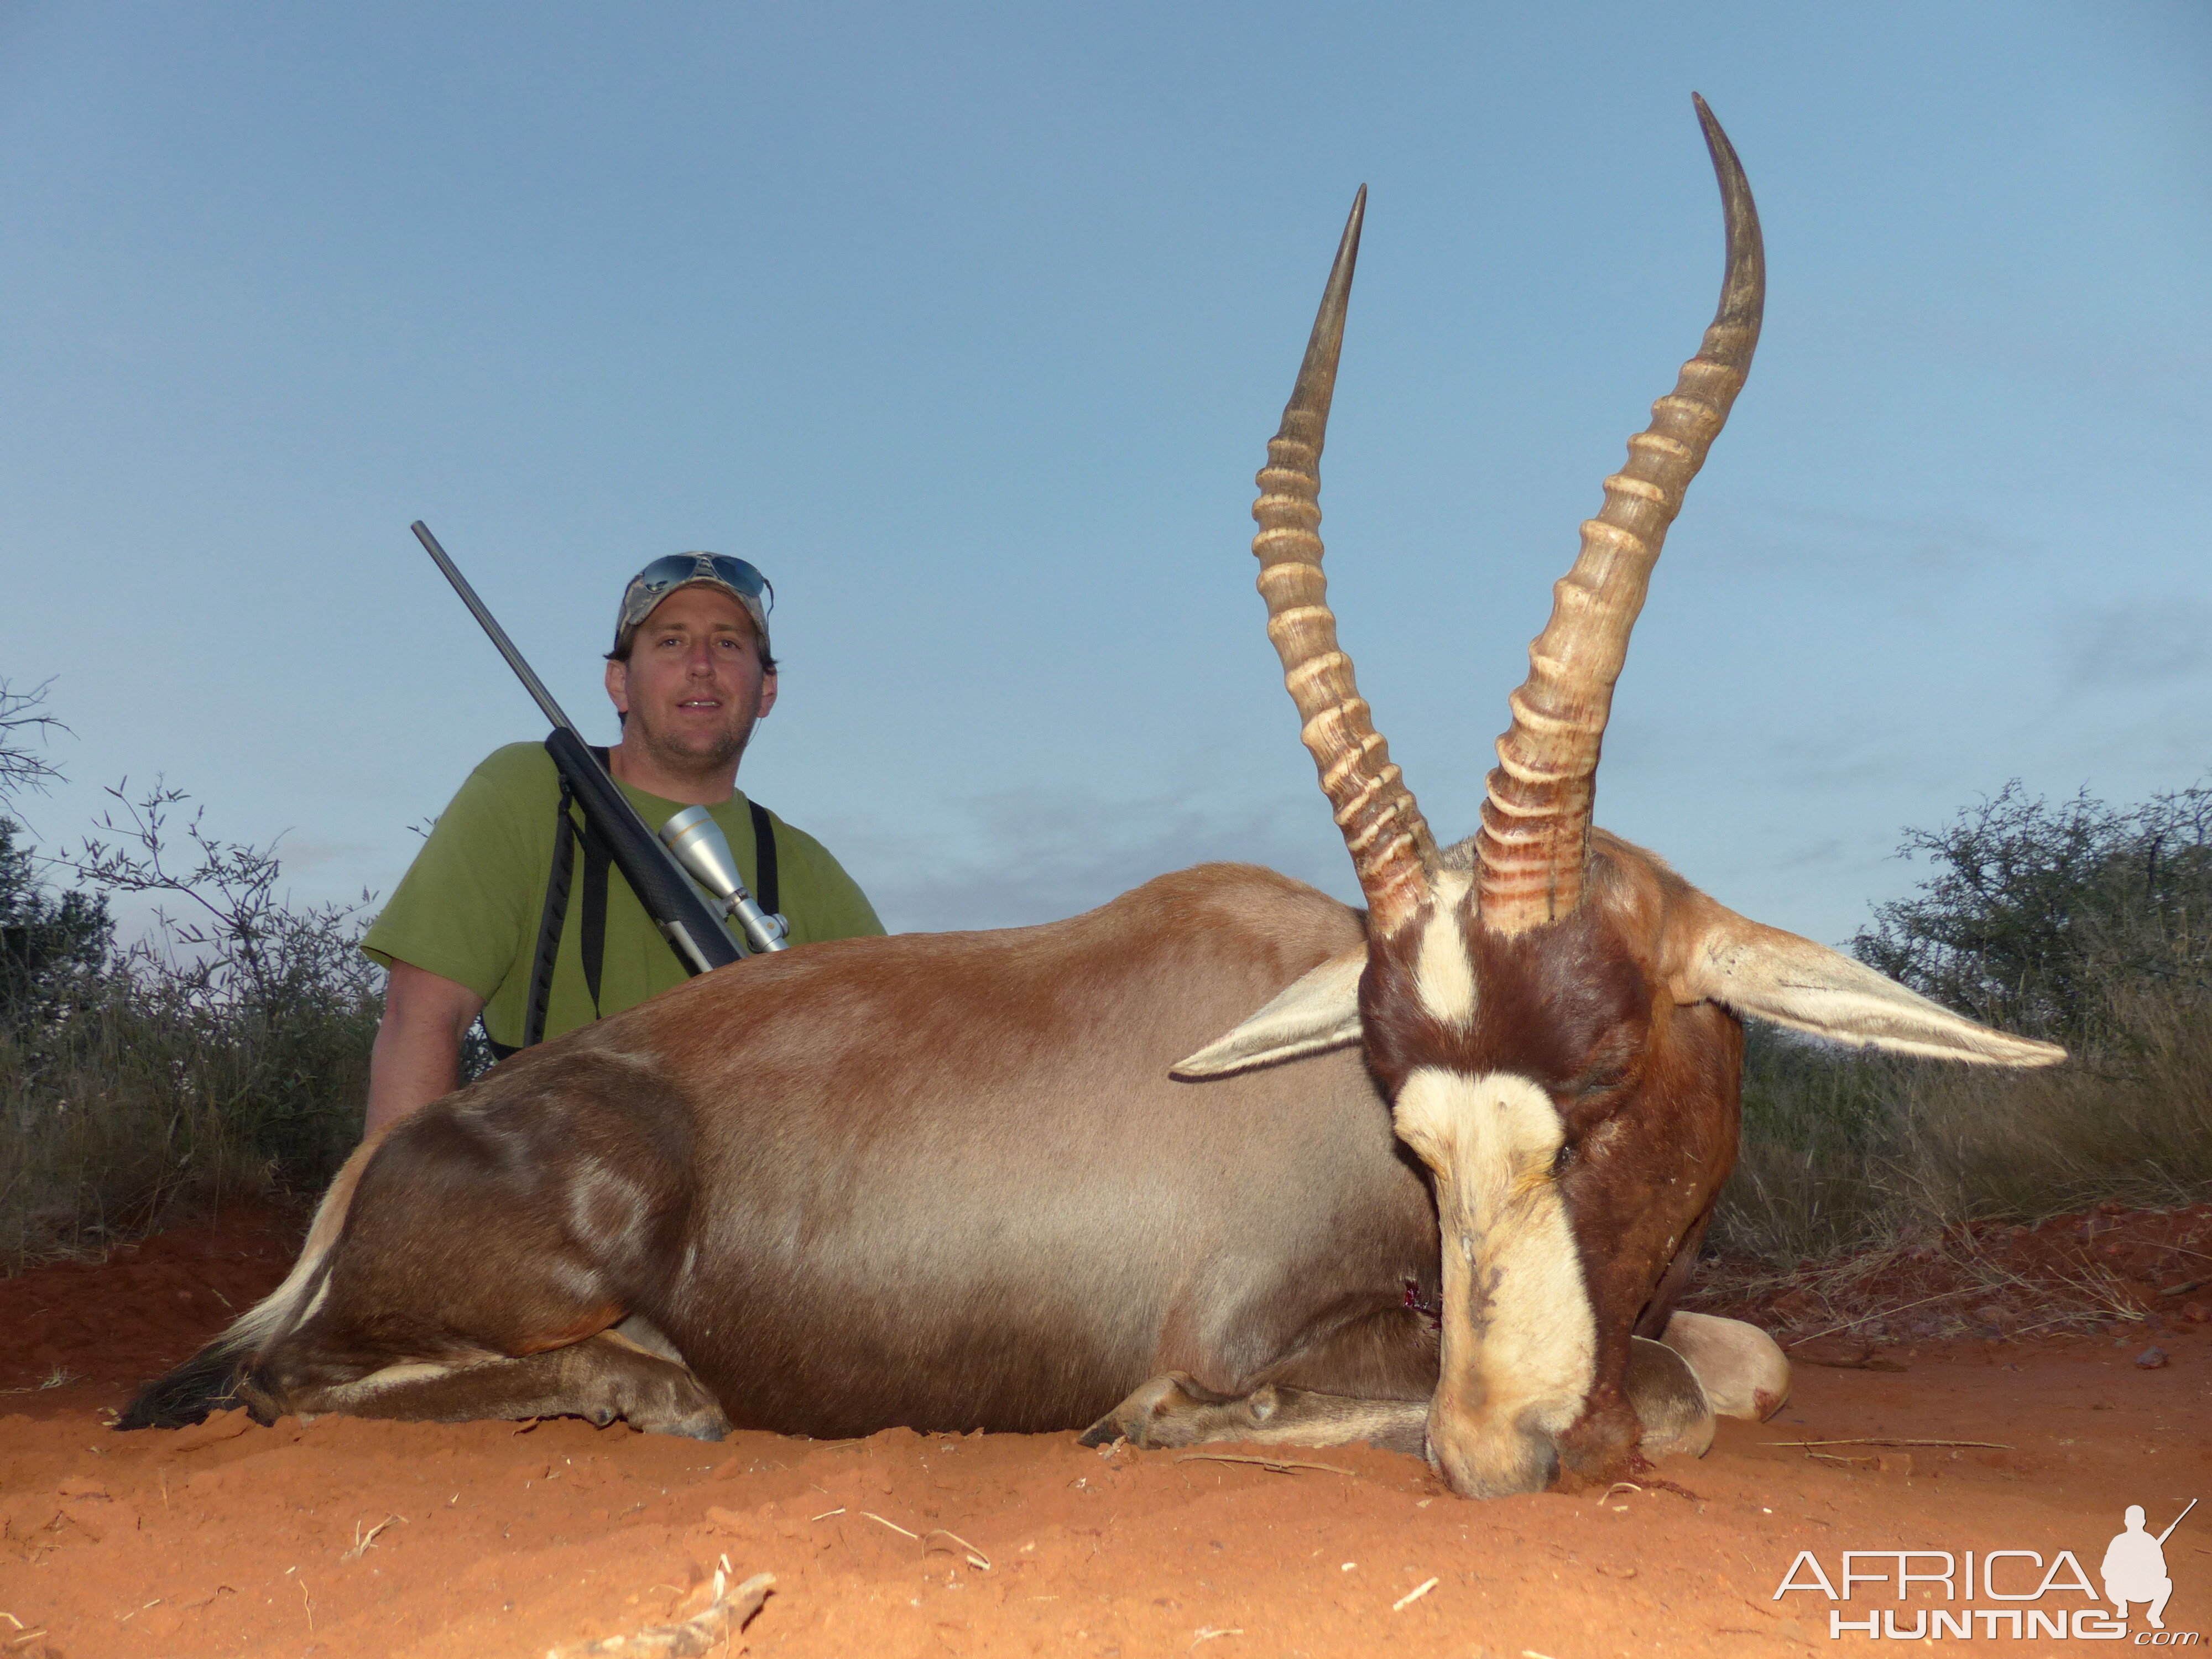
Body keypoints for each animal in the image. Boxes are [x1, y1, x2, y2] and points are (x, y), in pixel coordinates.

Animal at [117, 104, 2053, 1504]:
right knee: (293, 1387)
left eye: (1594, 1071)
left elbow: (1735, 1362)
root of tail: (381, 1166)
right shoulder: (1278, 1331)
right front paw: (1173, 1428)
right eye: (1401, 1115)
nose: (1493, 1454)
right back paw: (648, 1391)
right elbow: (1652, 1388)